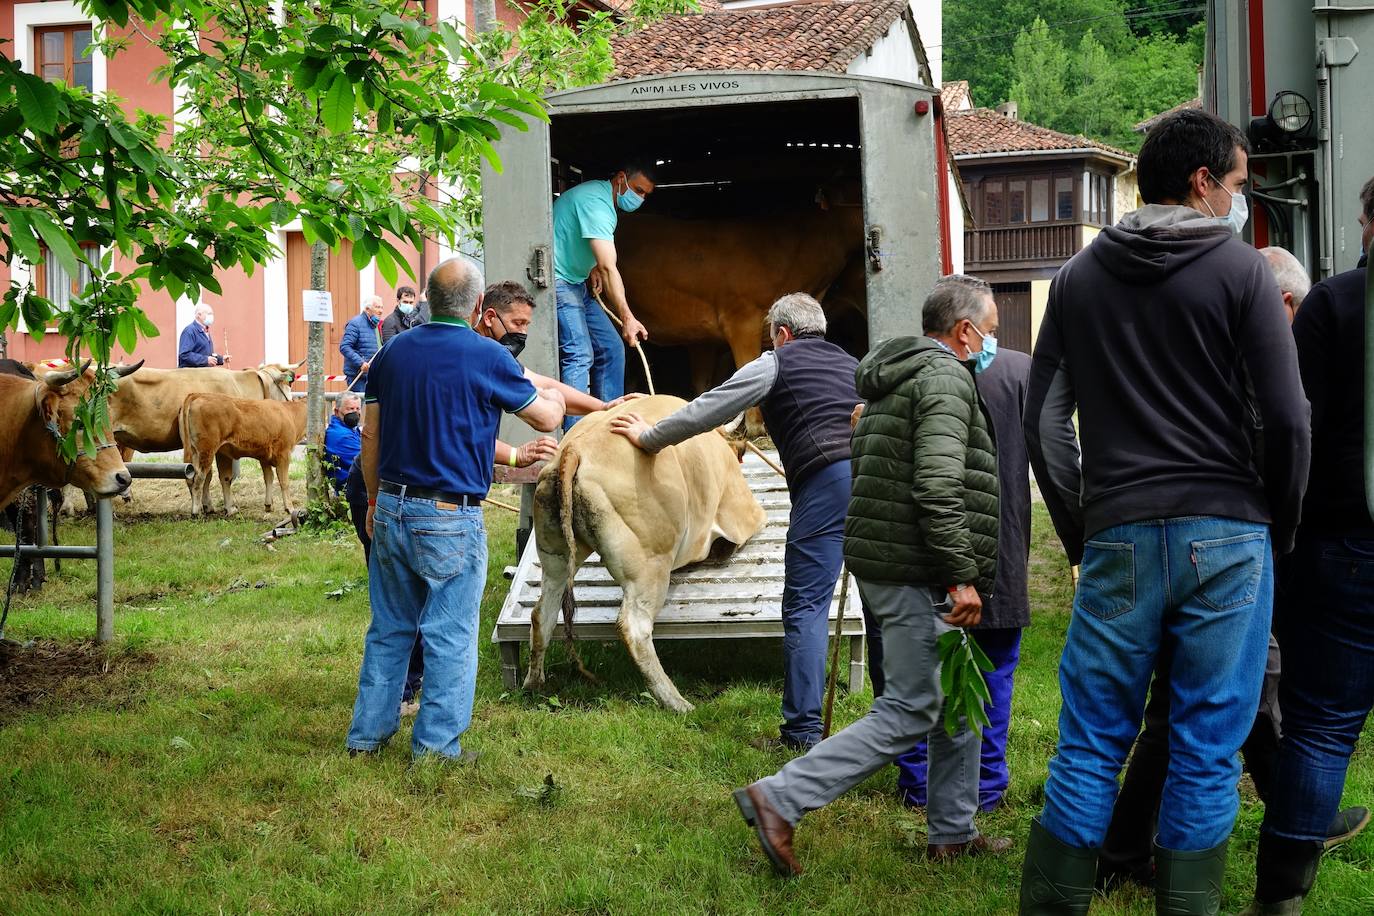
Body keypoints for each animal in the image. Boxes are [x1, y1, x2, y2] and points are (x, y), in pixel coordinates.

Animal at [178, 395, 307, 519]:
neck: (290, 415)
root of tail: (197, 396)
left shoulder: (264, 457)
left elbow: (268, 478)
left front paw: (268, 505)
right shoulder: (284, 454)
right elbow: (284, 481)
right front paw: (290, 508)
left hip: (201, 452)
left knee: (209, 478)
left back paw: (227, 510)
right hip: (206, 451)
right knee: (199, 479)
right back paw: (196, 512)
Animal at [524, 395, 769, 714]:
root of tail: (574, 449)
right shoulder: (742, 514)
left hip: (556, 558)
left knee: (543, 613)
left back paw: (534, 684)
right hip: (649, 569)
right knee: (634, 628)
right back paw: (675, 701)